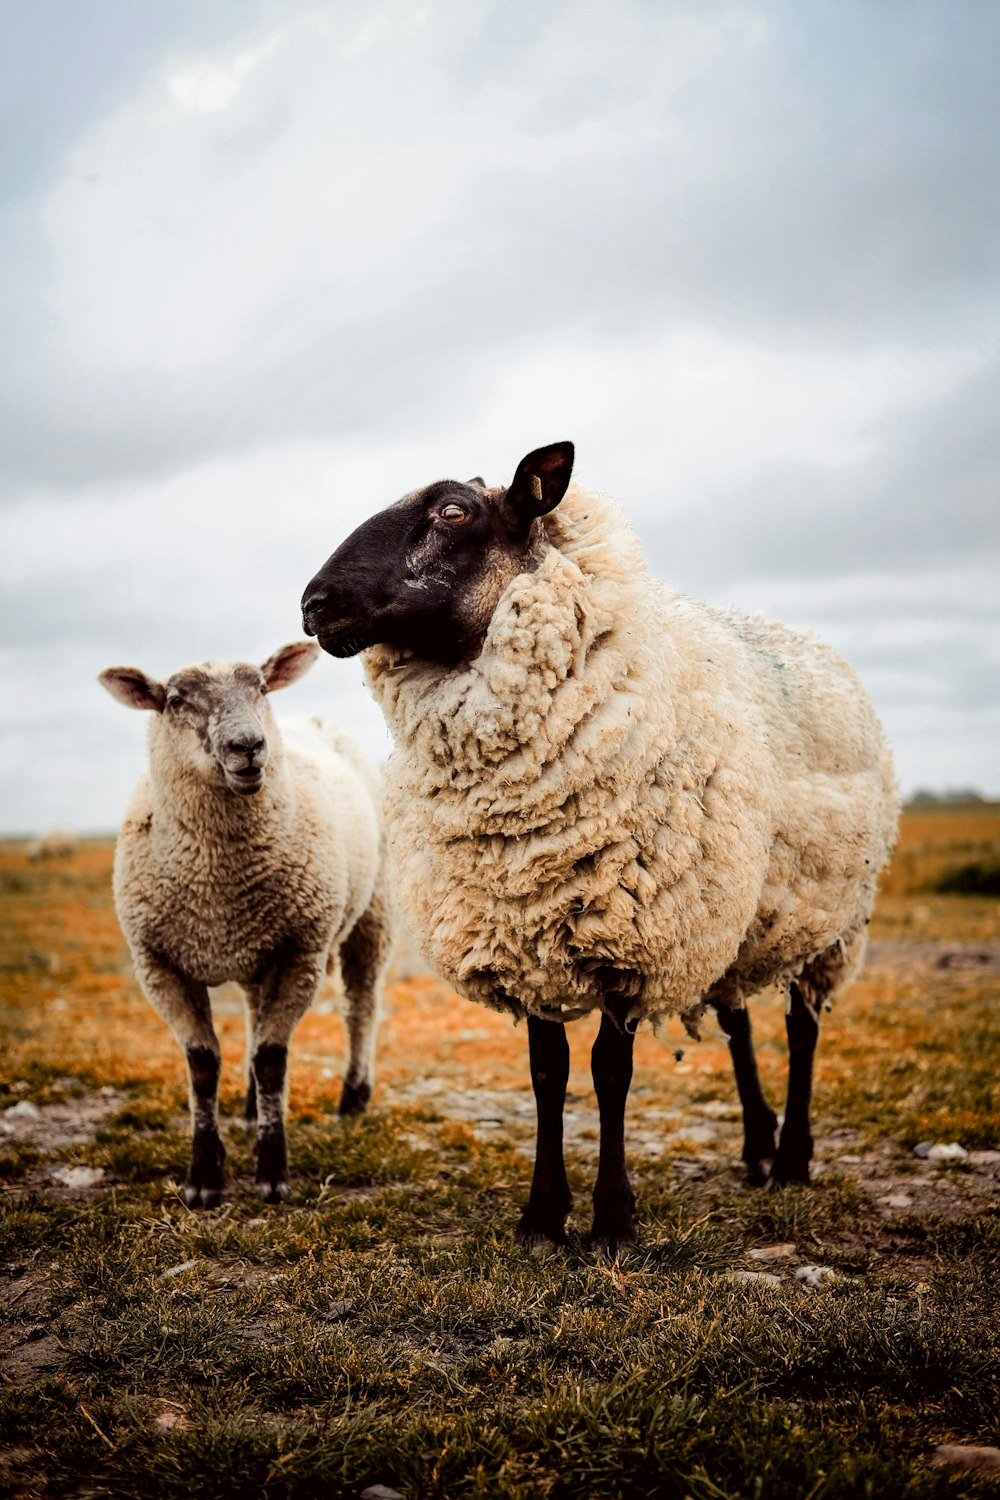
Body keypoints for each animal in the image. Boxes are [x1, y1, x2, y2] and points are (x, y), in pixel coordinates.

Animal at [301, 438, 905, 1248]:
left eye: (453, 512)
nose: (313, 605)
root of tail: (810, 641)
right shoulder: (521, 930)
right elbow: (547, 1073)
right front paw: (542, 1217)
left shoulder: (632, 937)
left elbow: (609, 1073)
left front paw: (613, 1219)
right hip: (733, 916)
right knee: (740, 1023)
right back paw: (756, 1146)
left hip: (826, 919)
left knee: (802, 1027)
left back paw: (791, 1161)